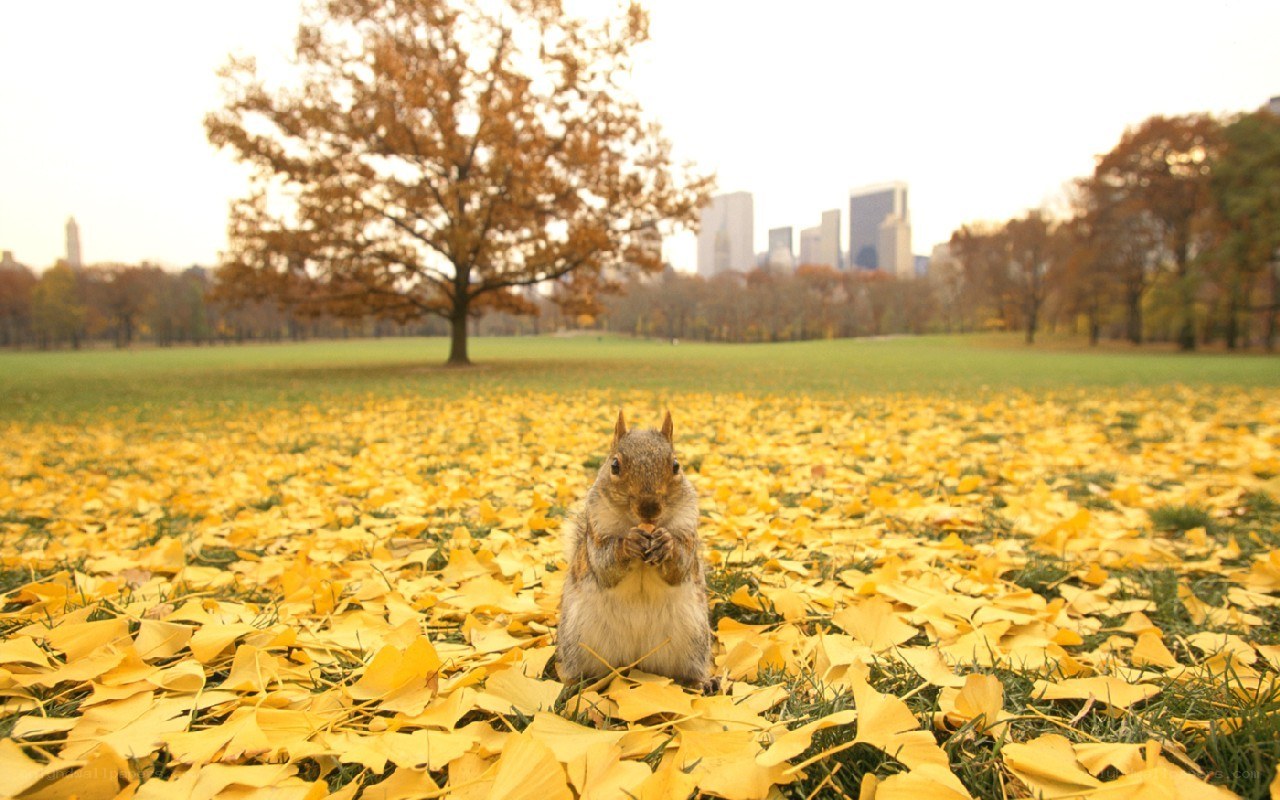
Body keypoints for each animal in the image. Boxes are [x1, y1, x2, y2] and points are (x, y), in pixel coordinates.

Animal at [556, 410, 715, 691]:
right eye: (614, 466)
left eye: (676, 466)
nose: (649, 508)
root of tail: (635, 662)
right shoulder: (596, 533)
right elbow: (605, 565)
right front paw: (627, 544)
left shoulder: (688, 531)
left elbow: (681, 566)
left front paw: (666, 544)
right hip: (577, 642)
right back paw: (574, 685)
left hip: (694, 640)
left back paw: (702, 682)